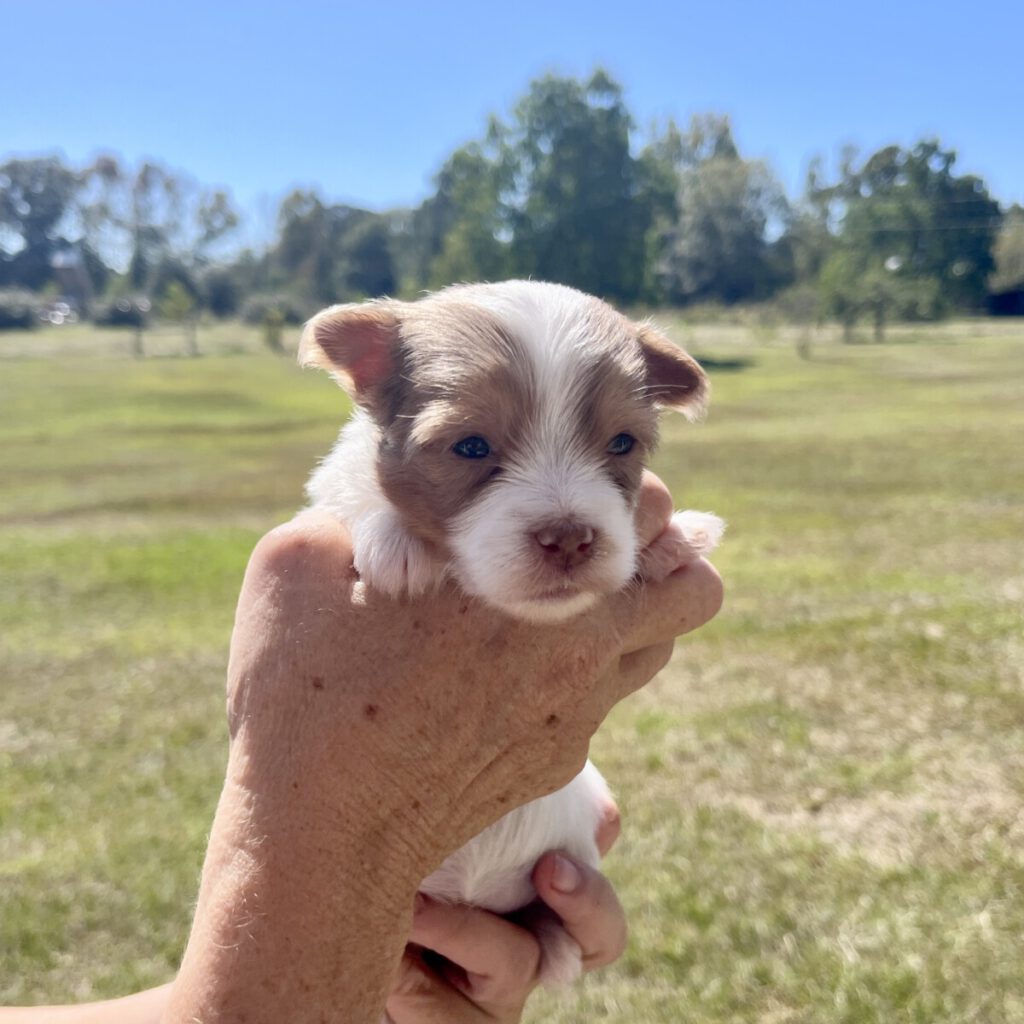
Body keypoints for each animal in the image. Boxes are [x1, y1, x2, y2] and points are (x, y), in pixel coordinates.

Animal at [299, 278, 724, 983]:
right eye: (471, 446)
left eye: (622, 444)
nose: (571, 537)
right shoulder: (328, 491)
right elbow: (352, 497)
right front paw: (395, 539)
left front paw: (675, 539)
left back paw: (555, 949)